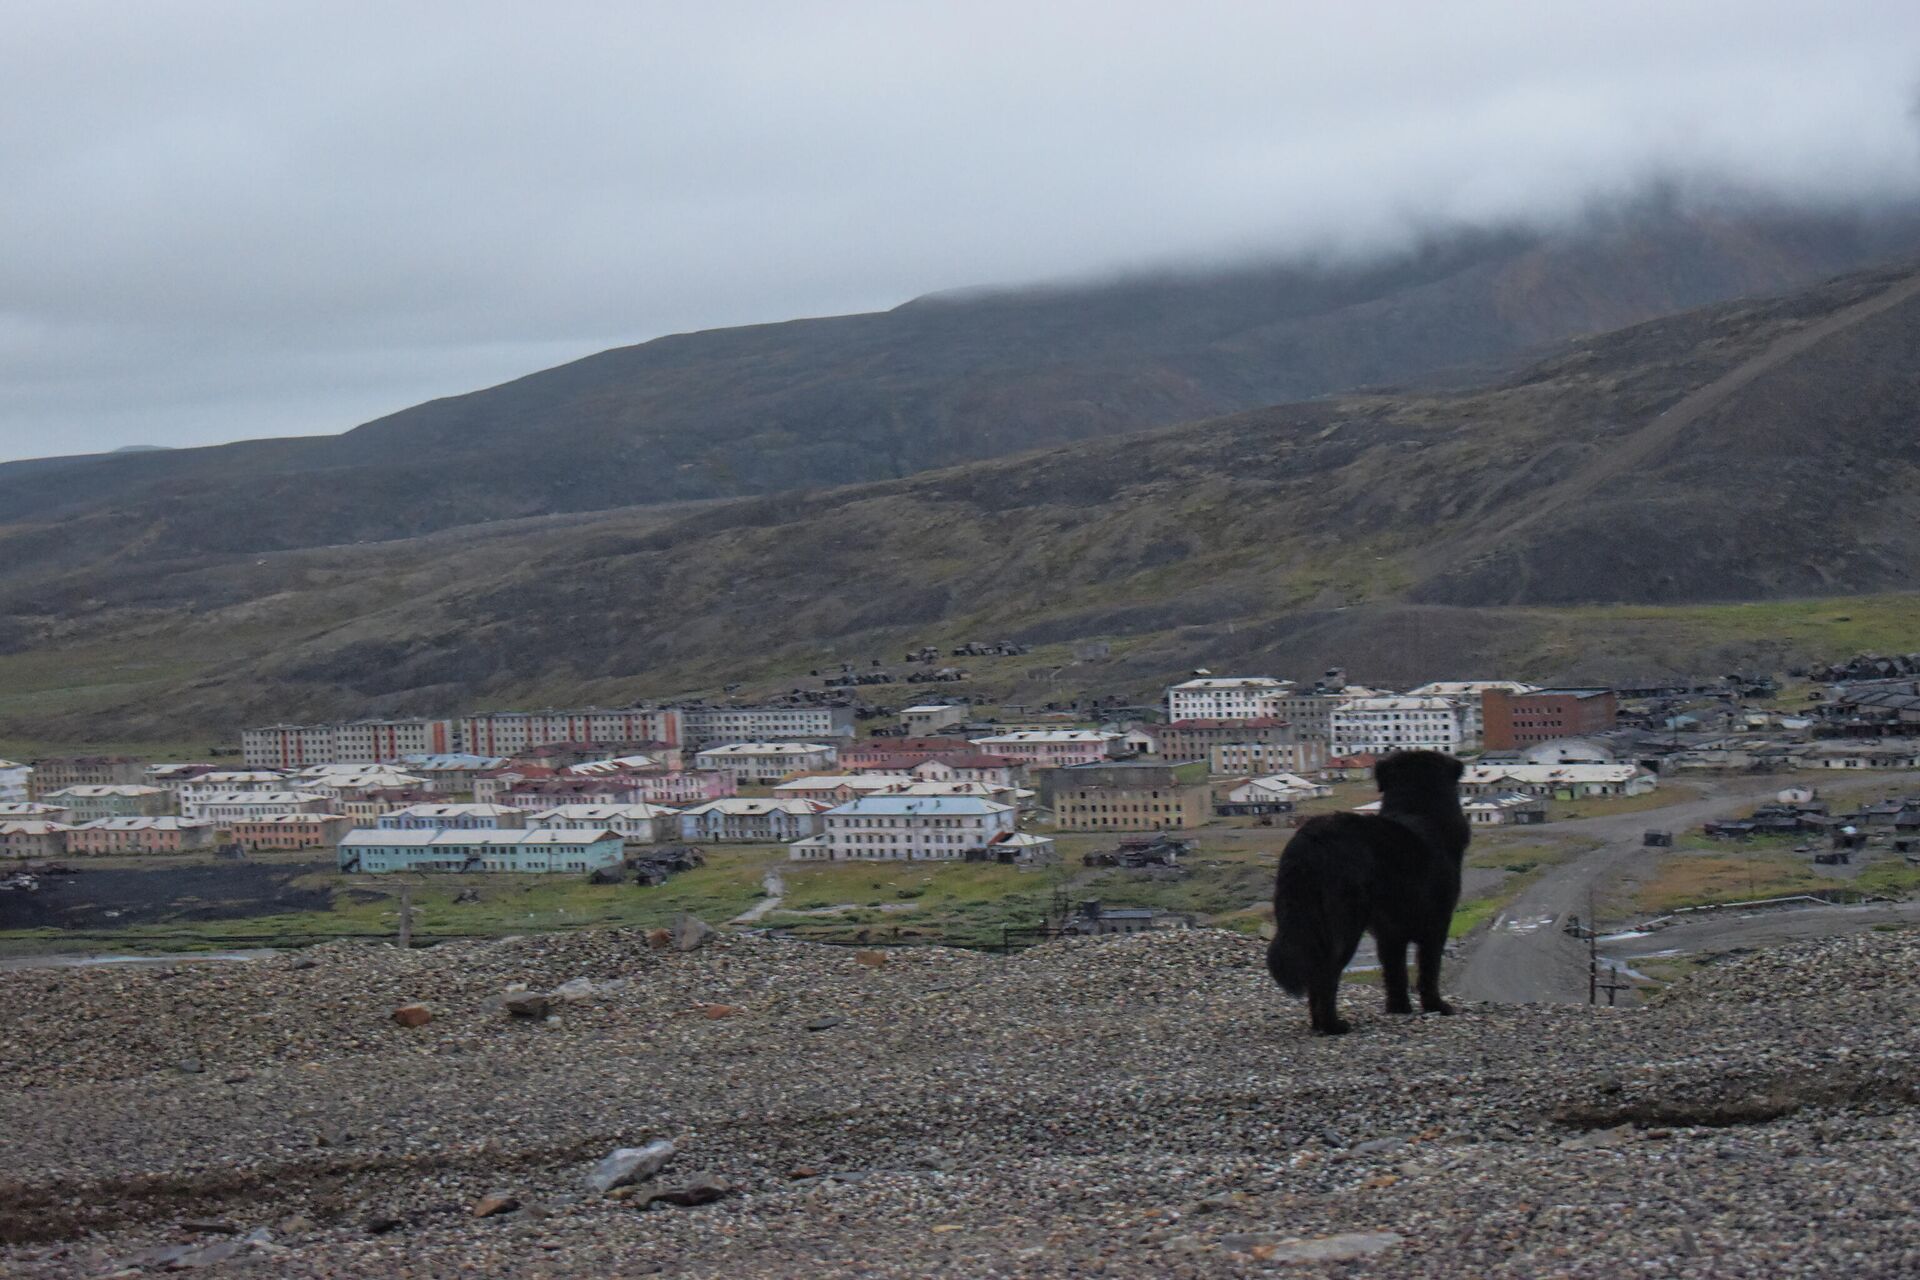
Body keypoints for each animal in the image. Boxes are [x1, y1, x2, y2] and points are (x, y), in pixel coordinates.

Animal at [1259, 752, 1466, 1028]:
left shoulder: (1390, 933)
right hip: (1346, 925)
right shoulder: (1437, 924)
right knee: (1327, 973)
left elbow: (1395, 973)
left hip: (1305, 917)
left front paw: (1399, 1008)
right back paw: (1332, 1026)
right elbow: (1429, 969)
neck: (1418, 811)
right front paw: (1437, 1006)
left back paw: (1319, 1024)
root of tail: (1311, 841)